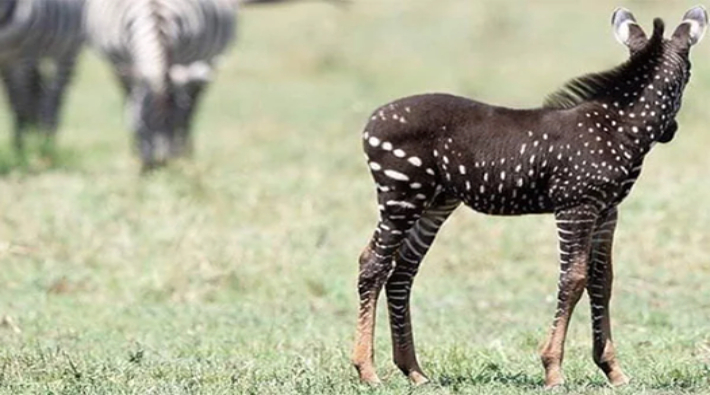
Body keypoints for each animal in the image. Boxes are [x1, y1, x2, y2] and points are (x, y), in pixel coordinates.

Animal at [0, 0, 86, 154]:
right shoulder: (7, 64)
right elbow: (18, 102)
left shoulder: (22, 60)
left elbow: (22, 105)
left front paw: (21, 151)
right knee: (41, 94)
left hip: (68, 53)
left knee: (53, 98)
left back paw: (47, 141)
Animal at [83, 0, 239, 169]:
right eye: (141, 124)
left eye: (175, 125)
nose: (161, 164)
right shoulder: (120, 63)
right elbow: (130, 104)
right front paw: (137, 152)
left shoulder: (184, 62)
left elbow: (184, 111)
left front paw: (179, 155)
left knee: (193, 107)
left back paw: (186, 153)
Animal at [354, 6, 708, 390]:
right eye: (686, 78)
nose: (672, 132)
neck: (617, 128)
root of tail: (372, 119)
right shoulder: (576, 206)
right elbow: (573, 279)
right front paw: (553, 369)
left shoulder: (607, 211)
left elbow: (602, 280)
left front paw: (613, 370)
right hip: (400, 195)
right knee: (373, 264)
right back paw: (367, 371)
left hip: (435, 202)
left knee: (402, 270)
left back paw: (414, 371)